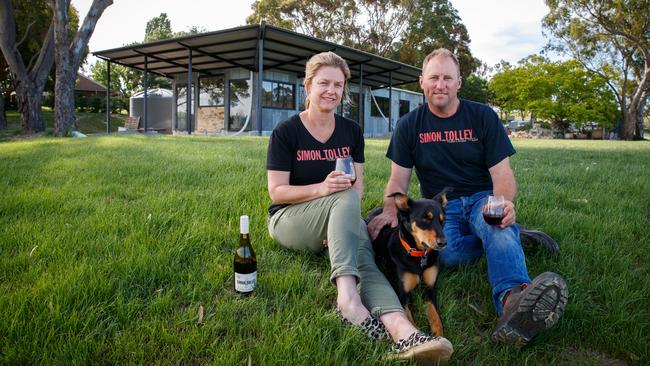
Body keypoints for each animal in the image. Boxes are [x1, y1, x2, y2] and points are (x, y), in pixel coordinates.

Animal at [368, 190, 448, 336]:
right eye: (425, 219)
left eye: (442, 220)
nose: (443, 242)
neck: (419, 255)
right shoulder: (401, 294)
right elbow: (410, 321)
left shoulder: (429, 289)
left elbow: (435, 316)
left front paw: (438, 335)